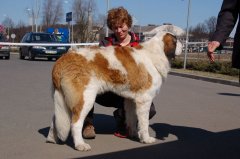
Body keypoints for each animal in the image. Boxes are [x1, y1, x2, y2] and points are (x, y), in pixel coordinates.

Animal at [46, 31, 182, 152]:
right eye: (176, 40)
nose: (183, 45)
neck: (155, 53)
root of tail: (62, 59)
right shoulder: (145, 99)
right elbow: (144, 122)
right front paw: (146, 138)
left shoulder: (131, 100)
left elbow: (132, 118)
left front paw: (133, 134)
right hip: (85, 98)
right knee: (76, 122)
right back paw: (80, 145)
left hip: (62, 99)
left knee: (56, 118)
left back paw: (52, 139)